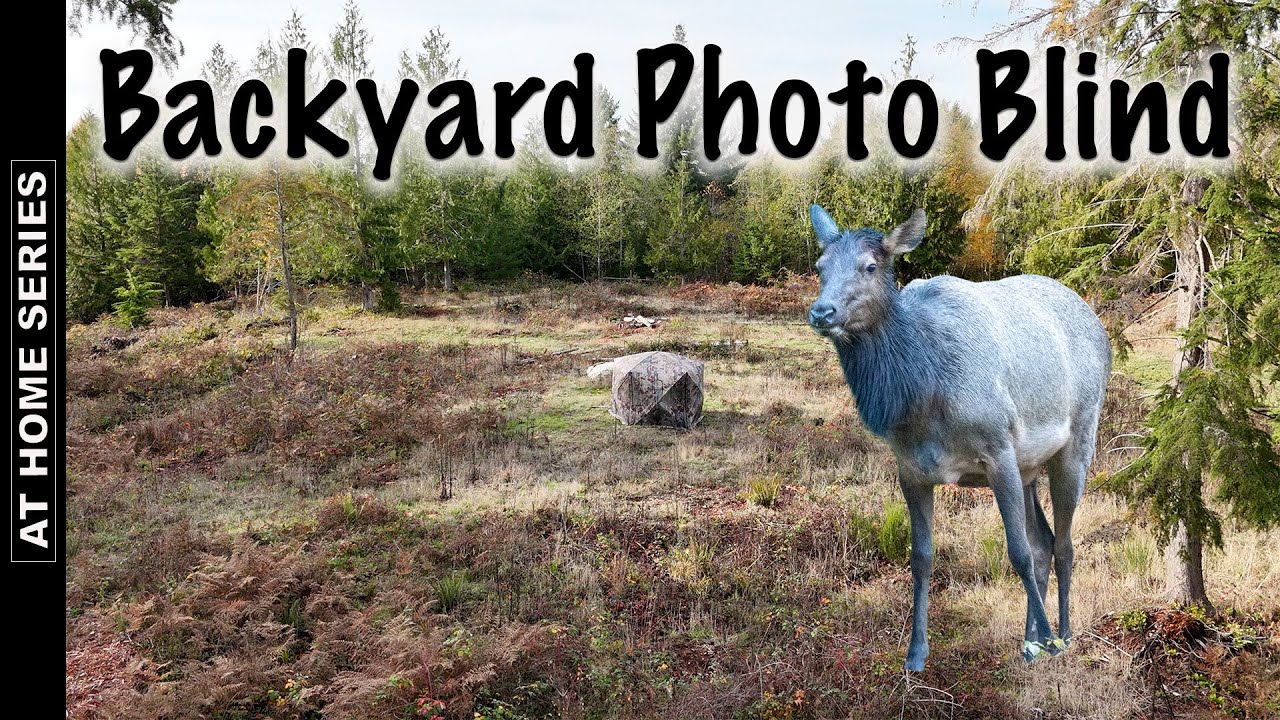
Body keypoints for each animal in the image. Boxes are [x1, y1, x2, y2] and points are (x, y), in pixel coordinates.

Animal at [806, 204, 1111, 671]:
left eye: (871, 266)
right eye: (820, 266)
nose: (822, 312)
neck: (923, 395)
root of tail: (1099, 325)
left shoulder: (998, 448)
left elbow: (1017, 552)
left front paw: (1049, 639)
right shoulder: (911, 469)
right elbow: (921, 557)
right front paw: (915, 654)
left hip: (1078, 440)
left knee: (1063, 544)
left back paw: (1062, 636)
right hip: (1028, 467)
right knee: (1043, 542)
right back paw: (1030, 642)